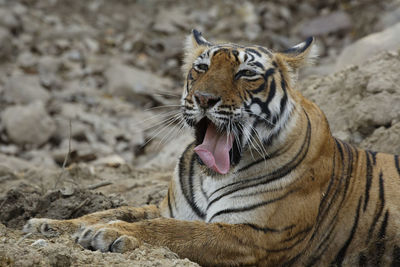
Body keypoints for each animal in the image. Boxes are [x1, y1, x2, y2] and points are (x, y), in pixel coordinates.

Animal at [24, 30, 400, 266]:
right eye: (201, 67)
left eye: (246, 73)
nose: (204, 99)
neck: (211, 175)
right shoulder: (169, 208)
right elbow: (116, 209)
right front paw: (48, 223)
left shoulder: (254, 236)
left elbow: (175, 232)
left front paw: (109, 234)